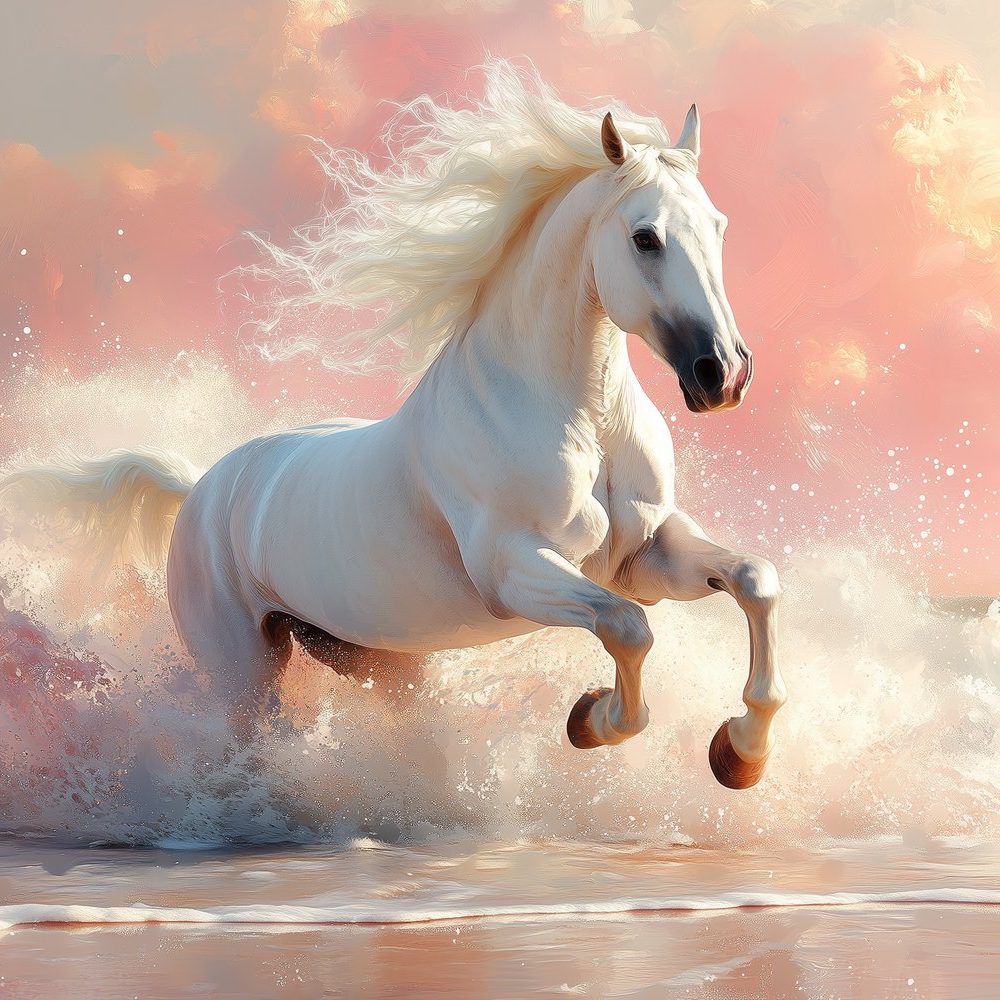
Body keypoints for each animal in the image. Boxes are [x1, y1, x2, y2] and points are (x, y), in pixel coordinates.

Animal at [1, 61, 786, 789]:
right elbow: (628, 628)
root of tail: (199, 489)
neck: (583, 420)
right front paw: (590, 719)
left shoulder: (643, 556)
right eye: (646, 237)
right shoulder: (516, 568)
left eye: (718, 227)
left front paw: (738, 754)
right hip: (241, 673)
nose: (723, 374)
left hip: (378, 661)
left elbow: (753, 578)